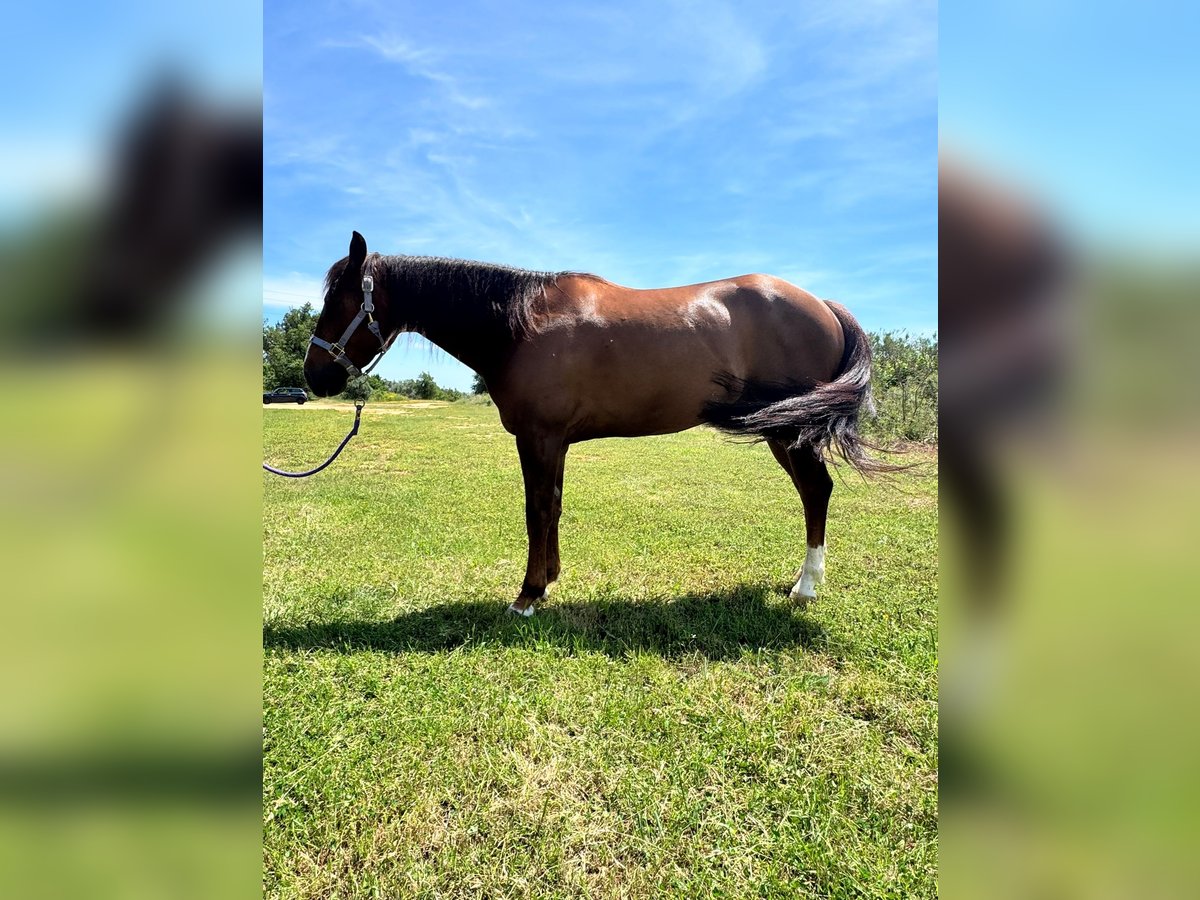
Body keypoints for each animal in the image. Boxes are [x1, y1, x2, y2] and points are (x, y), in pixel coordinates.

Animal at [304, 232, 880, 616]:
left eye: (339, 300)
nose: (314, 376)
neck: (521, 323)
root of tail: (823, 305)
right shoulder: (554, 442)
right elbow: (553, 509)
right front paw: (546, 582)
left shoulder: (539, 438)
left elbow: (537, 511)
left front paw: (527, 596)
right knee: (813, 492)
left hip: (790, 432)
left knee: (817, 490)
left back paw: (805, 588)